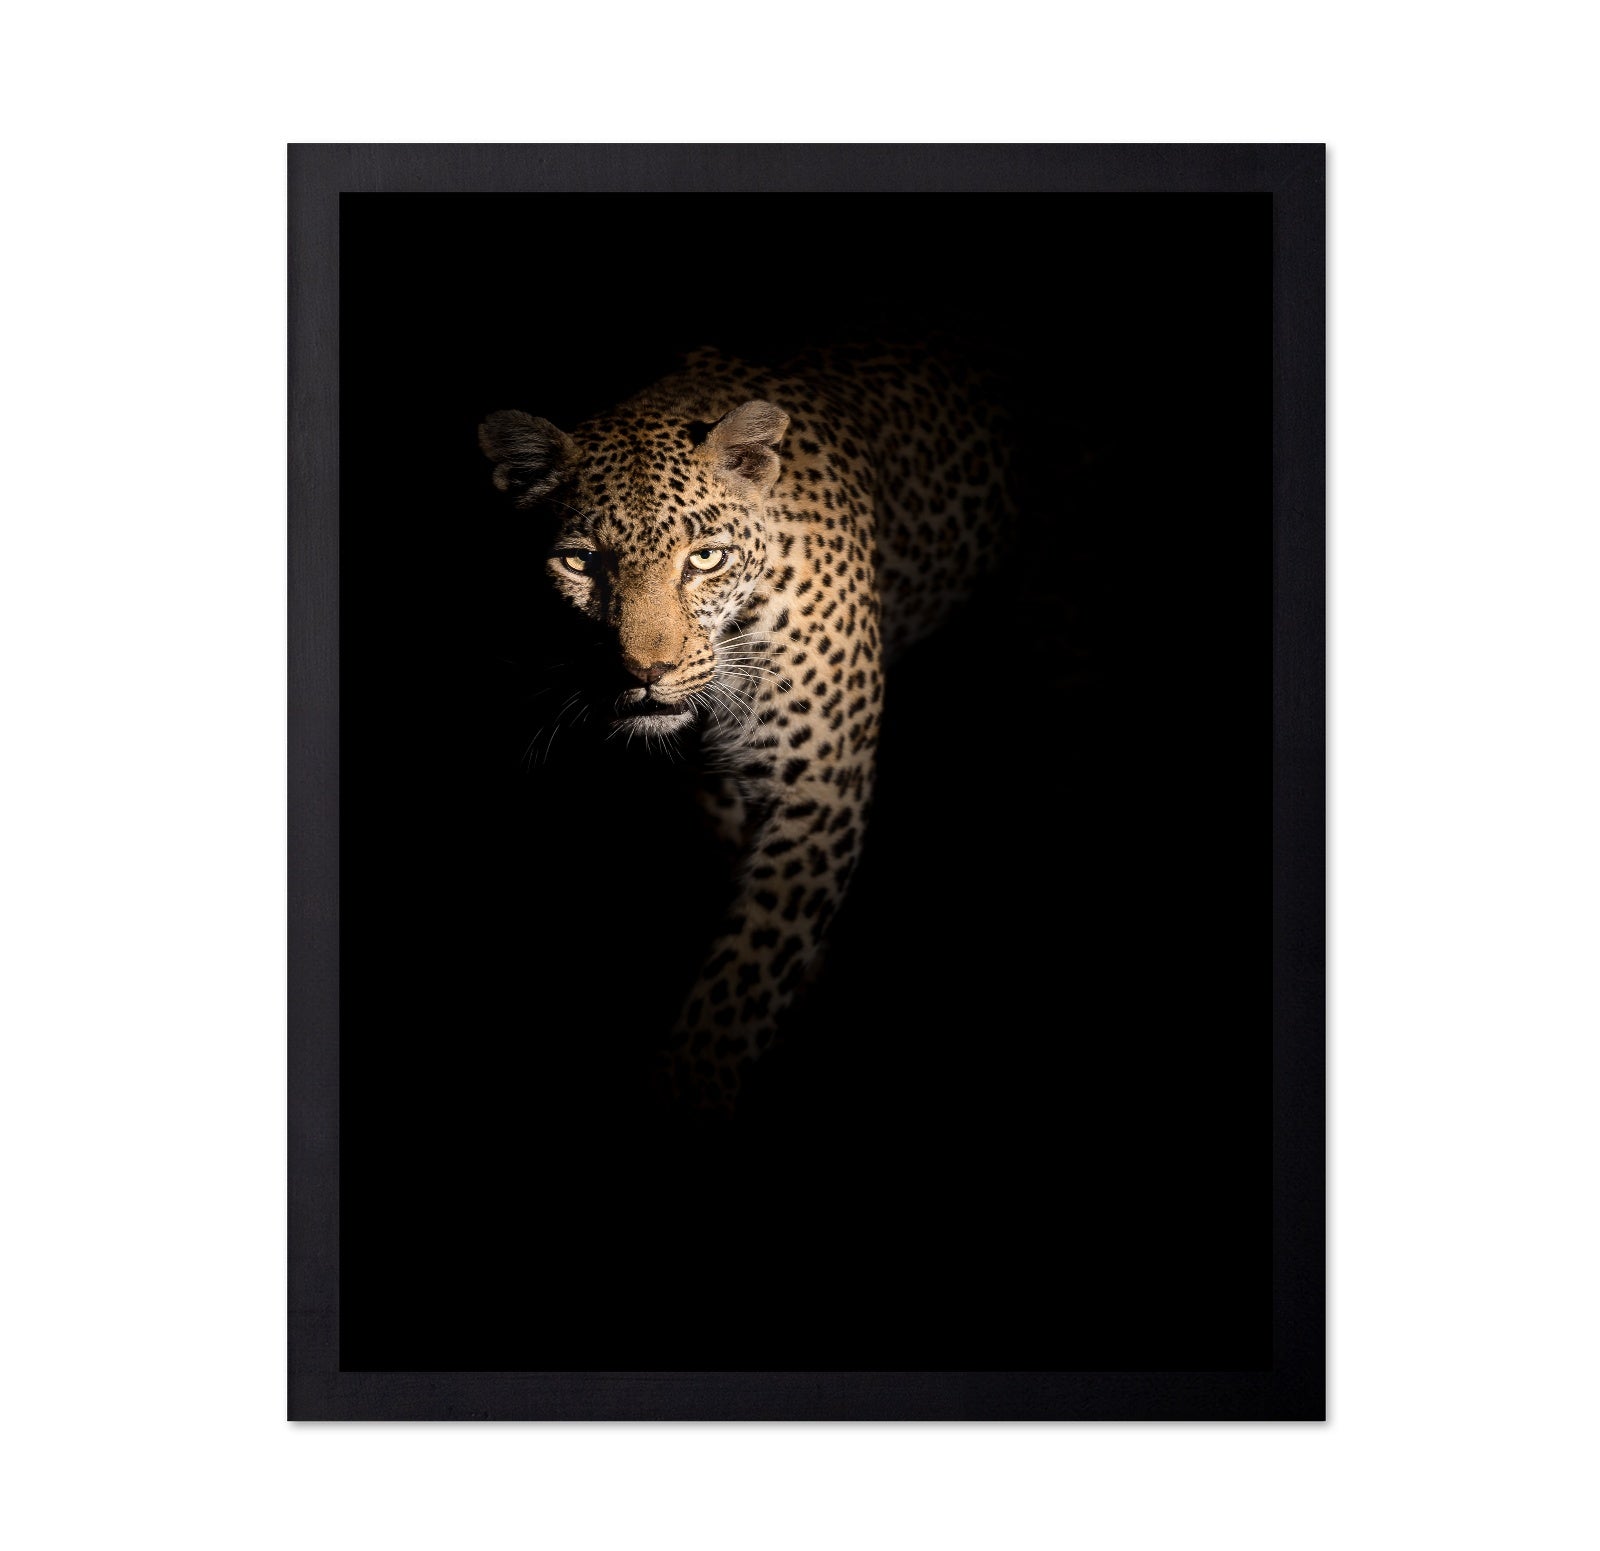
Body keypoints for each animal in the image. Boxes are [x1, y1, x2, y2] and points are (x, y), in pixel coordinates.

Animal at [479, 342, 1015, 1108]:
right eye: (579, 562)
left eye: (705, 557)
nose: (647, 671)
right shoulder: (715, 789)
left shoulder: (819, 790)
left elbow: (741, 983)